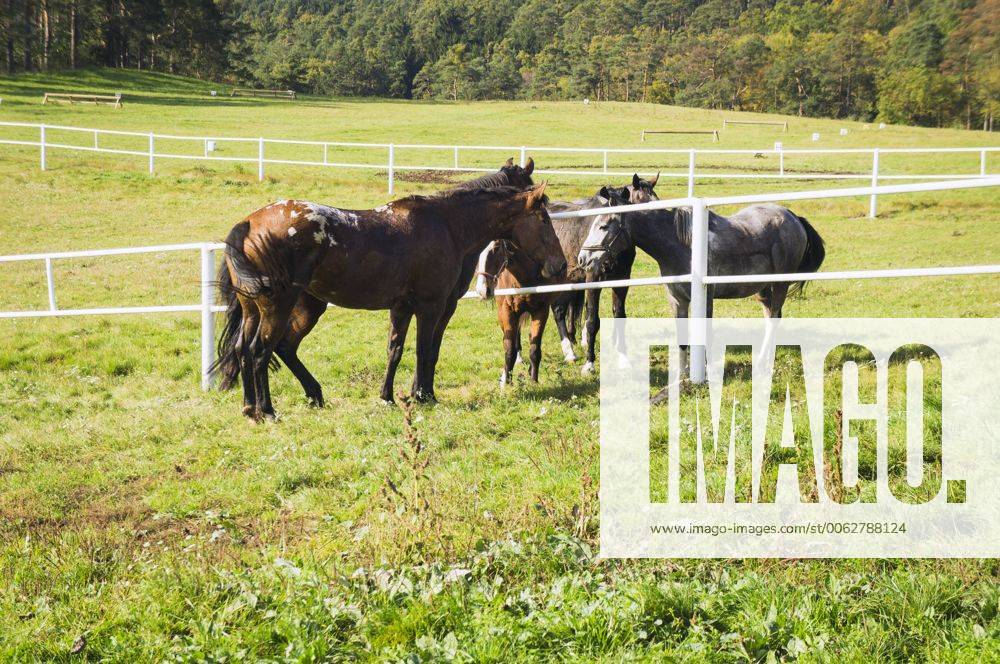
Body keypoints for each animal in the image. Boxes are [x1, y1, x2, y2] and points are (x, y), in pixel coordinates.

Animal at [213, 184, 565, 420]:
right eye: (544, 219)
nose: (559, 264)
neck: (447, 225)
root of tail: (249, 224)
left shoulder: (402, 308)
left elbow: (395, 351)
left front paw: (388, 397)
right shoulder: (430, 307)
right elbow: (424, 351)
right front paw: (424, 395)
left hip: (259, 311)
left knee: (247, 350)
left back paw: (256, 406)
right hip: (279, 308)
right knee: (260, 352)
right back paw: (268, 410)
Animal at [577, 185, 825, 375]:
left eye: (603, 226)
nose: (583, 259)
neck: (682, 244)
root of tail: (793, 217)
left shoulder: (705, 298)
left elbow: (704, 335)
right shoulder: (677, 300)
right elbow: (682, 339)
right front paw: (682, 374)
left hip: (780, 284)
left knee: (774, 318)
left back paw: (764, 362)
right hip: (762, 289)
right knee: (771, 317)